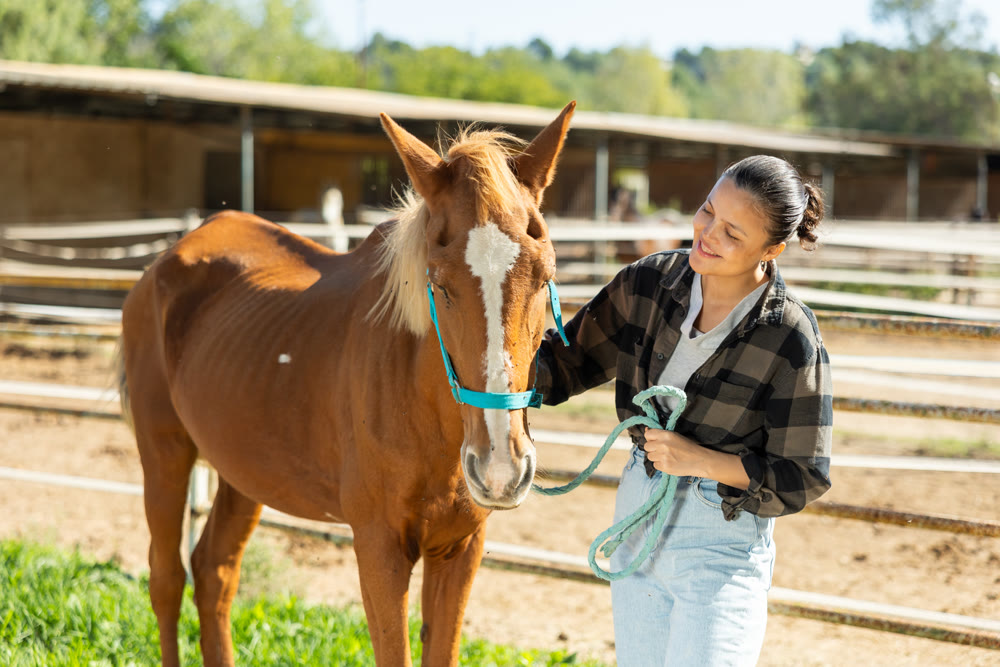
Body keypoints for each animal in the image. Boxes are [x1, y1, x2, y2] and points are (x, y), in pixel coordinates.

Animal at [117, 101, 576, 666]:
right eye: (439, 283)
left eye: (545, 275)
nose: (499, 469)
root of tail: (162, 263)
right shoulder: (379, 549)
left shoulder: (460, 550)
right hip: (164, 454)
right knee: (167, 579)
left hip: (242, 473)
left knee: (213, 572)